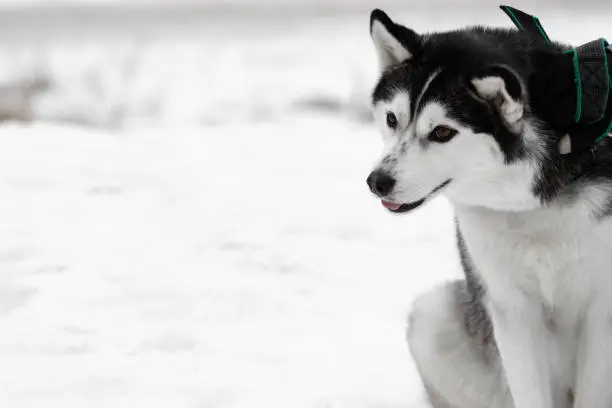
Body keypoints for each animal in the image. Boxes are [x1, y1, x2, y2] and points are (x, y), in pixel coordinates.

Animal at [366, 8, 612, 408]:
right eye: (392, 119)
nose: (378, 181)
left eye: (442, 132)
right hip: (433, 315)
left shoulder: (602, 310)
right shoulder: (511, 306)